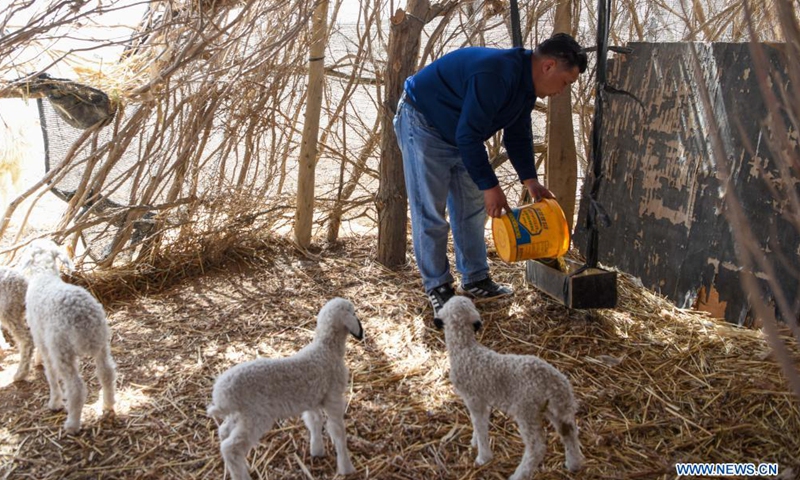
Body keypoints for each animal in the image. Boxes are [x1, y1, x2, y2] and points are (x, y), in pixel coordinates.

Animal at [20, 239, 116, 433]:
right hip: (102, 343)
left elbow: (50, 373)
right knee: (107, 373)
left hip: (62, 349)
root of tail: (84, 318)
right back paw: (108, 404)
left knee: (75, 387)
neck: (44, 275)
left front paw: (55, 402)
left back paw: (72, 424)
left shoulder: (42, 337)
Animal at [207, 297, 364, 480]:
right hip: (256, 416)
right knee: (230, 448)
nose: (361, 332)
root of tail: (221, 395)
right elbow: (337, 431)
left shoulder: (312, 399)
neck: (326, 348)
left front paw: (317, 450)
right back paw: (242, 474)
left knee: (223, 432)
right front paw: (346, 467)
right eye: (353, 312)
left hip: (239, 415)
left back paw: (242, 466)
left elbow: (314, 421)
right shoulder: (333, 397)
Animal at [434, 296, 584, 480]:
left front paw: (483, 457)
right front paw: (475, 441)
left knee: (537, 447)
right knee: (569, 432)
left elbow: (479, 424)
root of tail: (556, 384)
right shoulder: (484, 400)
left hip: (526, 410)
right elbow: (479, 422)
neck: (465, 349)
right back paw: (574, 464)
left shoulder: (474, 399)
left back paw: (518, 475)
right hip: (554, 409)